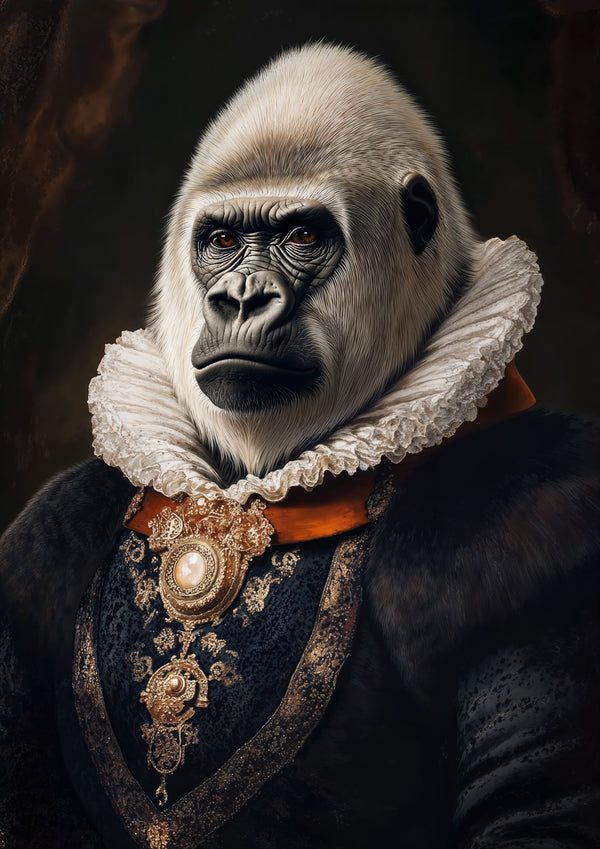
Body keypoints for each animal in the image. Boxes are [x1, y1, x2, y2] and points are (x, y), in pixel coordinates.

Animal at [1, 42, 599, 849]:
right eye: (222, 241)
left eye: (303, 237)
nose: (240, 299)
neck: (243, 493)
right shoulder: (57, 521)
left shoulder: (537, 511)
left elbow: (536, 806)